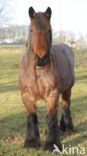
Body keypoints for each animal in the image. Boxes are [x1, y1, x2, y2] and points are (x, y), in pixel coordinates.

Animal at [19, 6, 75, 152]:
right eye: (31, 30)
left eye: (49, 30)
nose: (41, 58)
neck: (37, 71)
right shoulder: (25, 95)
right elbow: (32, 117)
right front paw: (31, 142)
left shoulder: (52, 93)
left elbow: (50, 117)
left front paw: (51, 144)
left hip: (67, 90)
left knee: (66, 106)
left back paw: (67, 128)